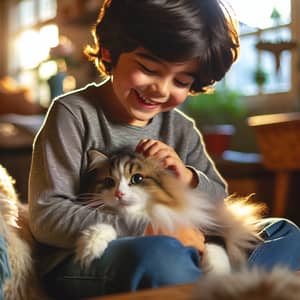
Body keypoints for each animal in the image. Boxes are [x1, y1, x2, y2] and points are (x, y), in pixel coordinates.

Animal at [75, 149, 264, 274]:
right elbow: (106, 226)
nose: (119, 194)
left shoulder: (210, 231)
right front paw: (90, 247)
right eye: (109, 181)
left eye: (137, 178)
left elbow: (215, 252)